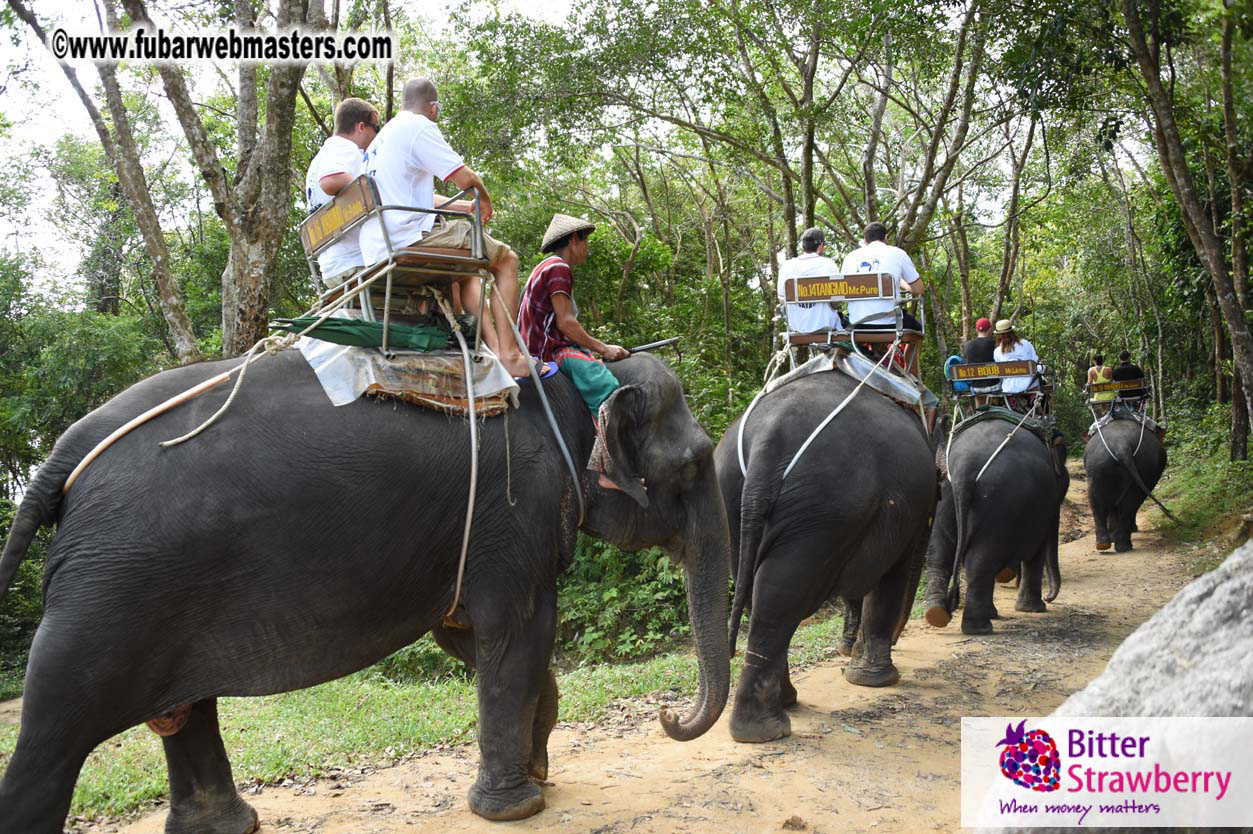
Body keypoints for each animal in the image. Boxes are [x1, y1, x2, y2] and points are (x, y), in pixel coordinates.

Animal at [0, 348, 731, 831]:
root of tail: (64, 455)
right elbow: (516, 633)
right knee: (51, 737)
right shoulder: (514, 509)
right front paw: (518, 806)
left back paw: (227, 826)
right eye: (697, 462)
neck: (565, 387)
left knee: (183, 707)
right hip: (107, 597)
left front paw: (539, 768)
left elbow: (471, 638)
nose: (667, 714)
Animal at [716, 370, 942, 741]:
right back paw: (768, 728)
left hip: (732, 495)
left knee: (760, 592)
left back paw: (778, 708)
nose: (900, 638)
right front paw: (875, 680)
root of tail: (768, 440)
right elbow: (889, 577)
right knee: (783, 594)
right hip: (825, 503)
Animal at [922, 408, 1067, 631]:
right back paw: (980, 628)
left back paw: (937, 614)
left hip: (945, 494)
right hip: (998, 497)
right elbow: (1036, 553)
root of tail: (965, 465)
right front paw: (1033, 609)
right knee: (980, 562)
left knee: (940, 553)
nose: (1050, 597)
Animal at [1082, 418, 1167, 548]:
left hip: (1098, 465)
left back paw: (1107, 544)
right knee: (1129, 503)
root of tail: (1122, 445)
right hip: (1143, 465)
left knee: (1100, 502)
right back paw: (1121, 544)